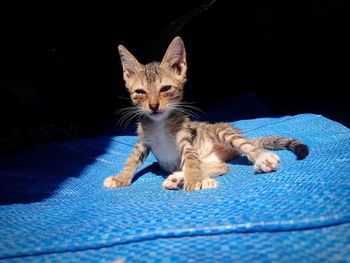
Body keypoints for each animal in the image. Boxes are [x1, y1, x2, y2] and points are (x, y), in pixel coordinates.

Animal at [104, 36, 308, 192]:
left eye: (166, 88)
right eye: (140, 92)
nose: (153, 106)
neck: (160, 123)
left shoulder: (186, 138)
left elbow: (190, 159)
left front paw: (194, 181)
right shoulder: (143, 141)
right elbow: (132, 160)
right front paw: (121, 178)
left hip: (223, 132)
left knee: (244, 148)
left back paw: (262, 158)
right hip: (213, 158)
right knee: (221, 166)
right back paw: (179, 178)